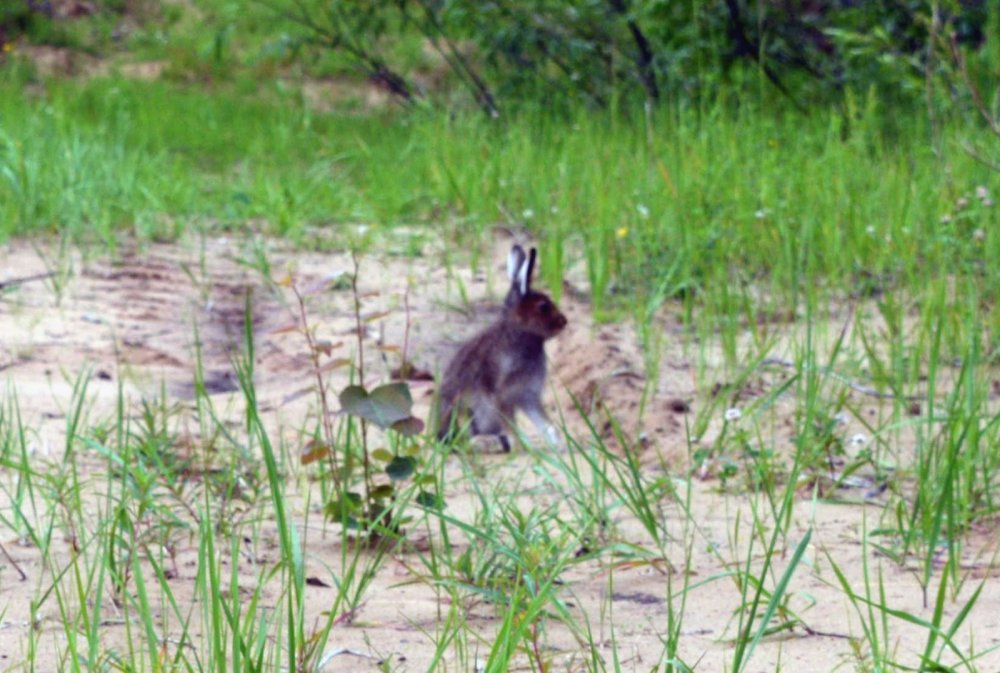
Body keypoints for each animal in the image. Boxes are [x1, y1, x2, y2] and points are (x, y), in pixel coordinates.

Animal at [436, 244, 567, 451]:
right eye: (543, 306)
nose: (564, 322)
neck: (521, 333)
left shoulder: (528, 396)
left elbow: (545, 424)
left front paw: (560, 446)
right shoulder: (502, 395)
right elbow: (512, 426)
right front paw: (524, 447)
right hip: (466, 412)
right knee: (465, 441)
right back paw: (486, 443)